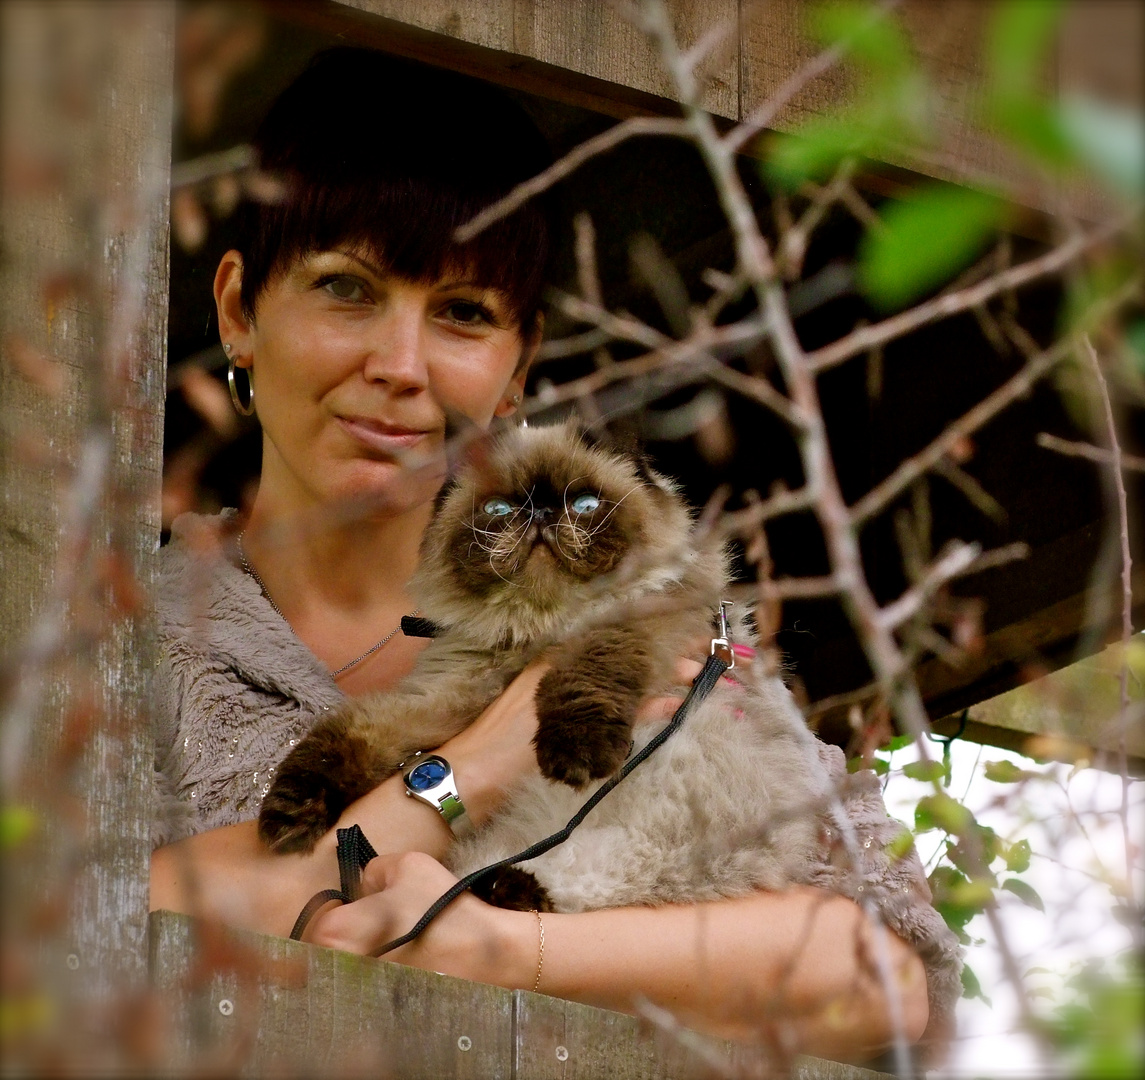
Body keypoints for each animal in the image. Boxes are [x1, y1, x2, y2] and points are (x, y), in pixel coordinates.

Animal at [259, 421, 833, 911]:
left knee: (598, 876)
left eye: (584, 503)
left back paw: (511, 887)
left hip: (672, 824)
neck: (543, 629)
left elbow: (580, 681)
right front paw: (285, 817)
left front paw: (573, 755)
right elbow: (355, 735)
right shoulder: (451, 692)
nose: (538, 518)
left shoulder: (621, 630)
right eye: (498, 507)